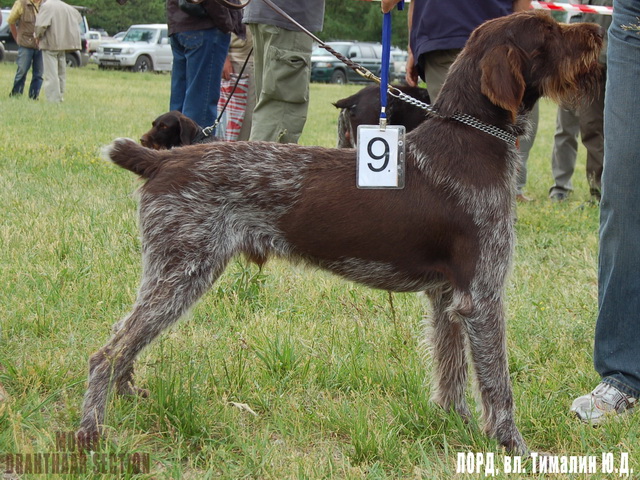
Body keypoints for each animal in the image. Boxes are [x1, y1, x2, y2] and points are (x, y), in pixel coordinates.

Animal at [78, 12, 602, 454]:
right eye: (548, 29)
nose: (596, 30)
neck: (470, 138)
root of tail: (162, 160)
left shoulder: (447, 297)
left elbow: (450, 374)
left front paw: (457, 429)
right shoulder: (482, 295)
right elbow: (498, 384)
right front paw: (516, 448)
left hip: (169, 272)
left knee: (122, 336)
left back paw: (127, 395)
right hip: (184, 271)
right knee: (106, 352)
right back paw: (91, 433)